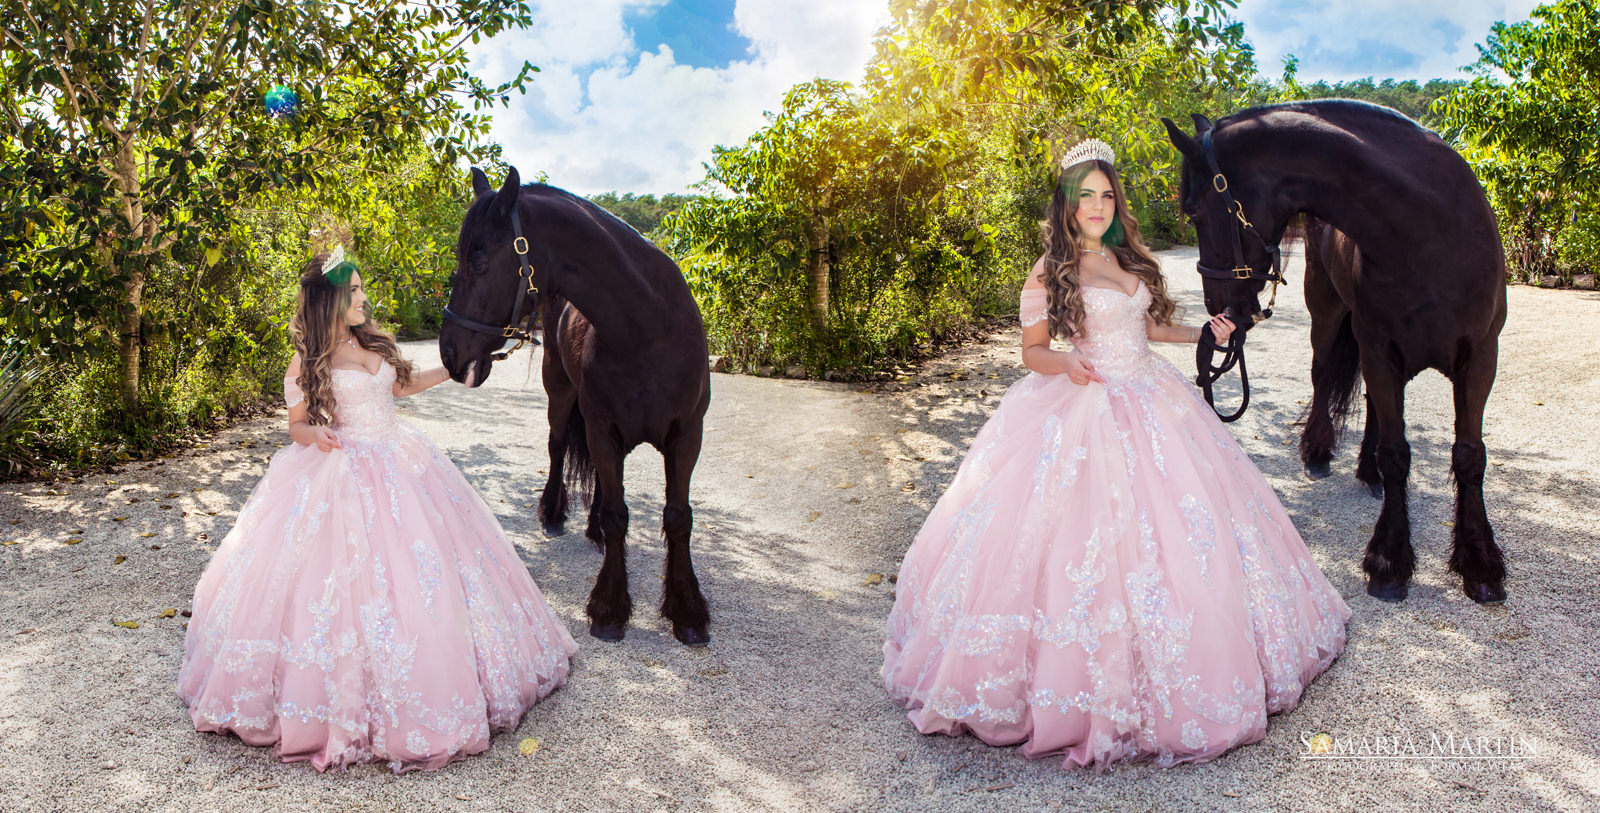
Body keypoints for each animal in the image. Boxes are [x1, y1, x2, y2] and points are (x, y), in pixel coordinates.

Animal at [438, 168, 713, 643]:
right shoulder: (601, 429)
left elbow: (677, 517)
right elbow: (618, 515)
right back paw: (553, 513)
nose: (449, 353)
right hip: (562, 395)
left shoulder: (687, 436)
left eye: (478, 260)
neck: (648, 332)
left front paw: (687, 611)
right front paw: (610, 607)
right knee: (557, 447)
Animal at [1171, 100, 1504, 604]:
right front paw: (1389, 562)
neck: (1427, 234)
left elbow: (1469, 456)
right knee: (1324, 376)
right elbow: (1396, 453)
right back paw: (1319, 452)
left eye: (1193, 211)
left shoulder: (1481, 359)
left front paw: (1480, 564)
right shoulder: (1380, 350)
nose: (1215, 307)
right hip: (1328, 318)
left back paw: (1367, 472)